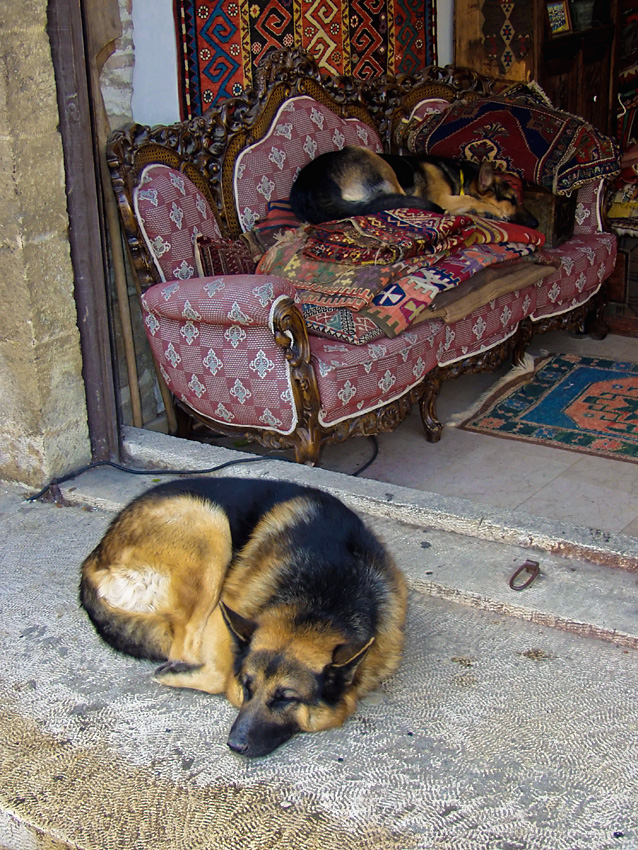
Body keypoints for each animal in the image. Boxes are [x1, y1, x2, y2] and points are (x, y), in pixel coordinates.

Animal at [80, 476, 408, 756]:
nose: (234, 745)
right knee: (183, 648)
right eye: (247, 688)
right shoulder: (223, 613)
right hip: (210, 524)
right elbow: (223, 674)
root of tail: (94, 560)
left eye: (286, 698)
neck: (323, 600)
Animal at [292, 145, 540, 229]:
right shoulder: (443, 198)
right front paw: (492, 211)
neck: (461, 177)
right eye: (511, 199)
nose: (537, 224)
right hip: (369, 156)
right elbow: (472, 199)